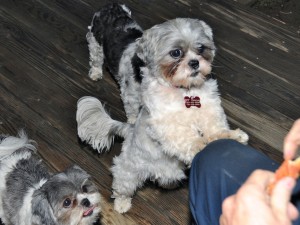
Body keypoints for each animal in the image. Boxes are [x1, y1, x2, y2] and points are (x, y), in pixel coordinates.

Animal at [77, 3, 248, 214]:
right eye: (176, 53)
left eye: (201, 48)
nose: (195, 63)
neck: (185, 92)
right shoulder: (165, 124)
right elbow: (186, 140)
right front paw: (200, 149)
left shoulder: (209, 110)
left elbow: (216, 129)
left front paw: (232, 137)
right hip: (129, 171)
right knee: (122, 184)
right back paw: (122, 203)